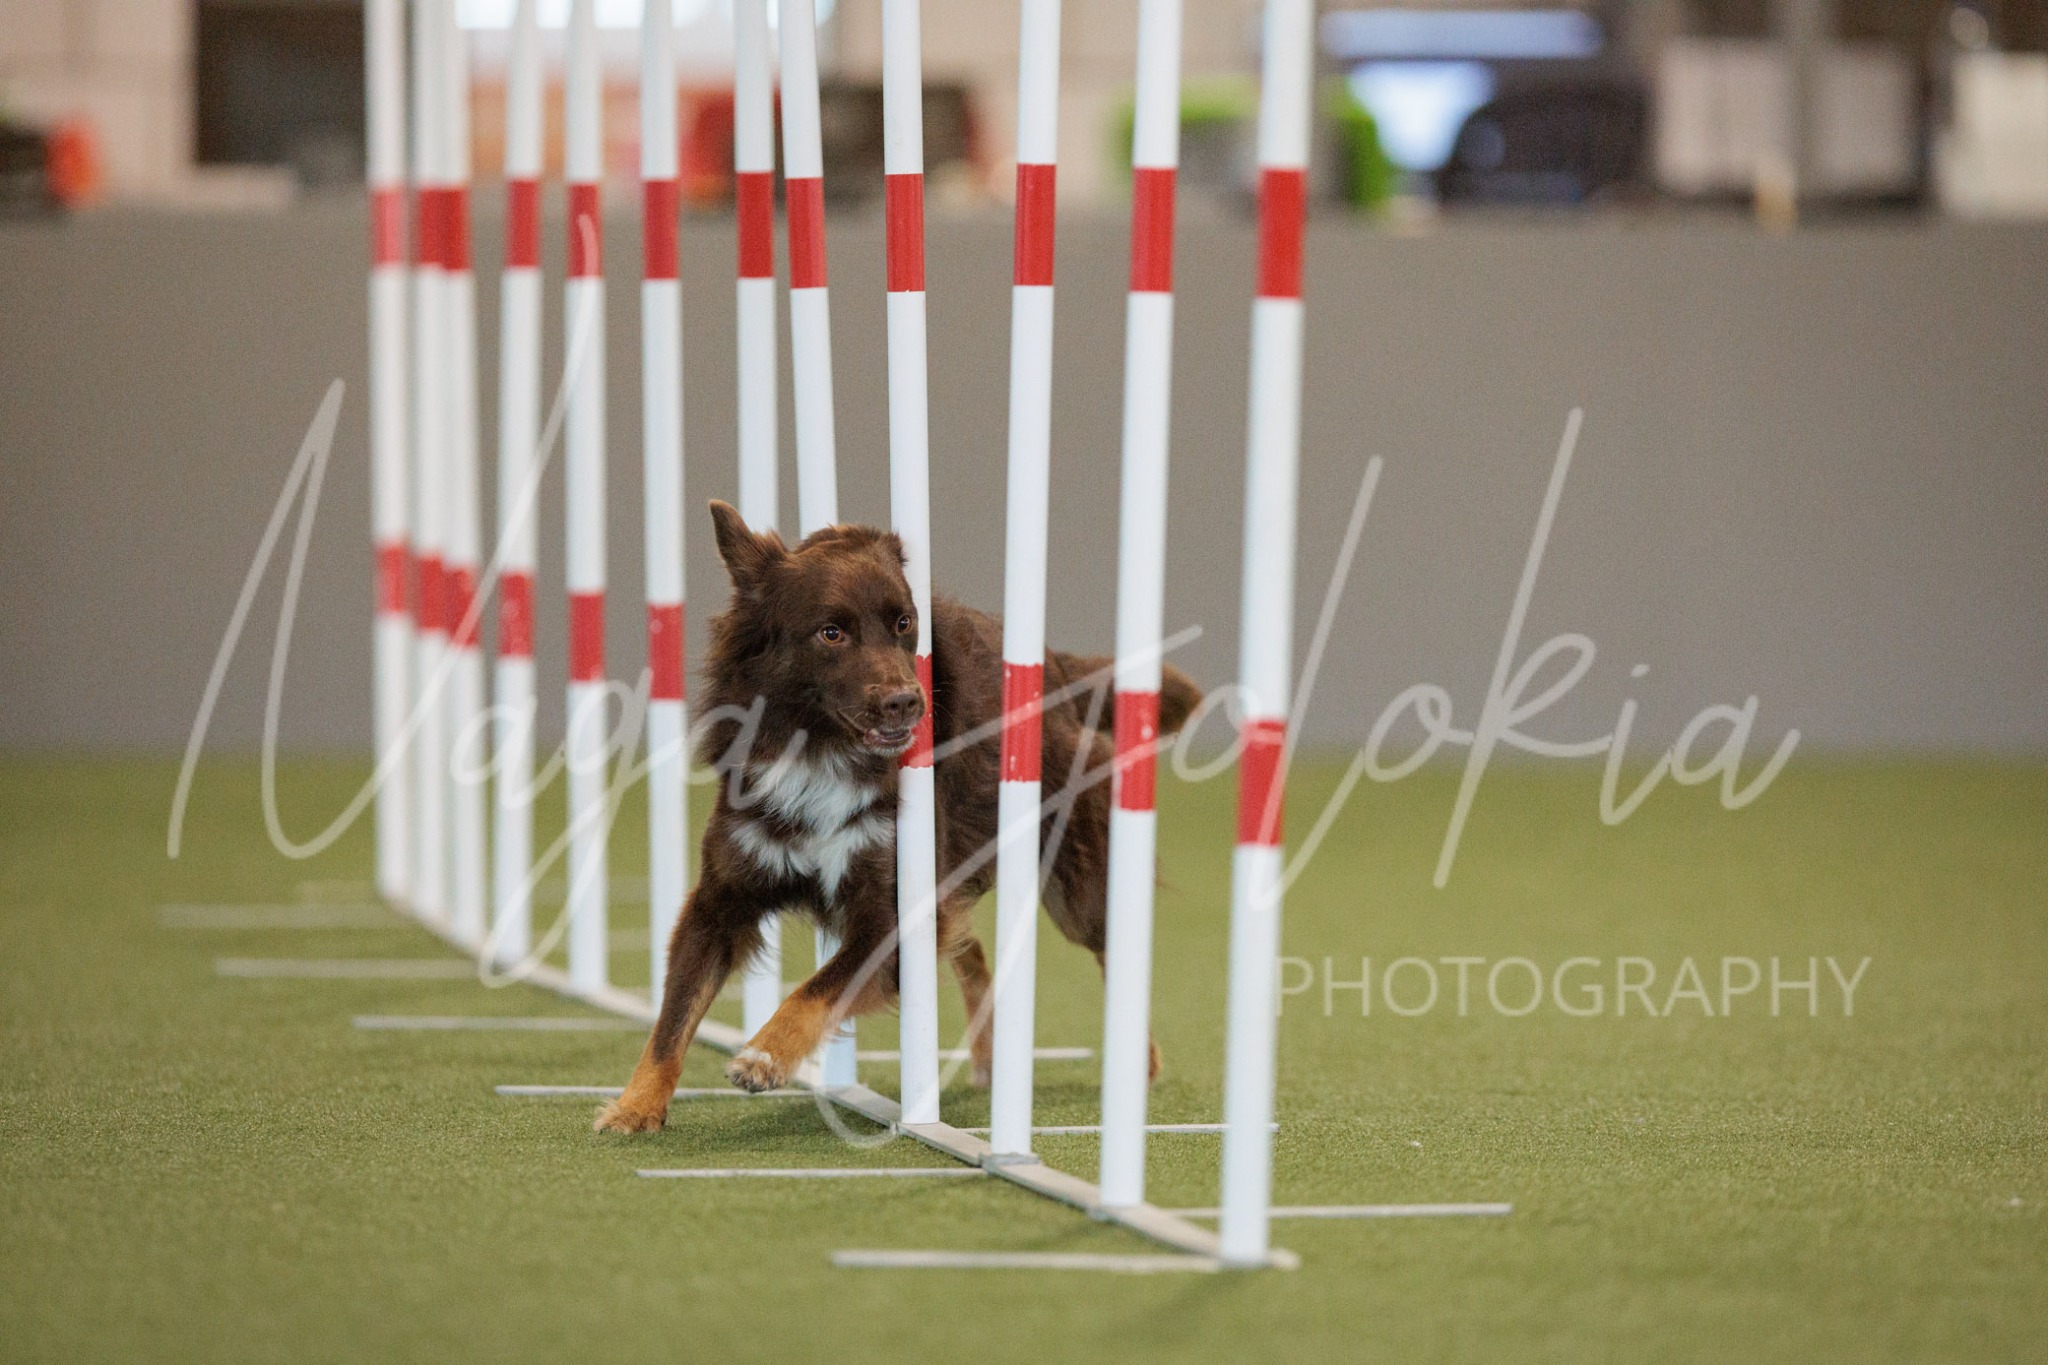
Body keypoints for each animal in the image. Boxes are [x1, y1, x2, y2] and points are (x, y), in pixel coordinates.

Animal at [594, 500, 1200, 1134]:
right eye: (831, 632)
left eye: (905, 623)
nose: (908, 702)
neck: (822, 749)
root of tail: (1055, 667)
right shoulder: (721, 898)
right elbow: (673, 1016)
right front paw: (637, 1106)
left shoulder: (892, 911)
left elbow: (819, 987)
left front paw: (764, 1055)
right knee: (969, 947)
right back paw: (989, 1057)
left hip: (1071, 884)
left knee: (1109, 946)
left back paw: (1135, 1061)